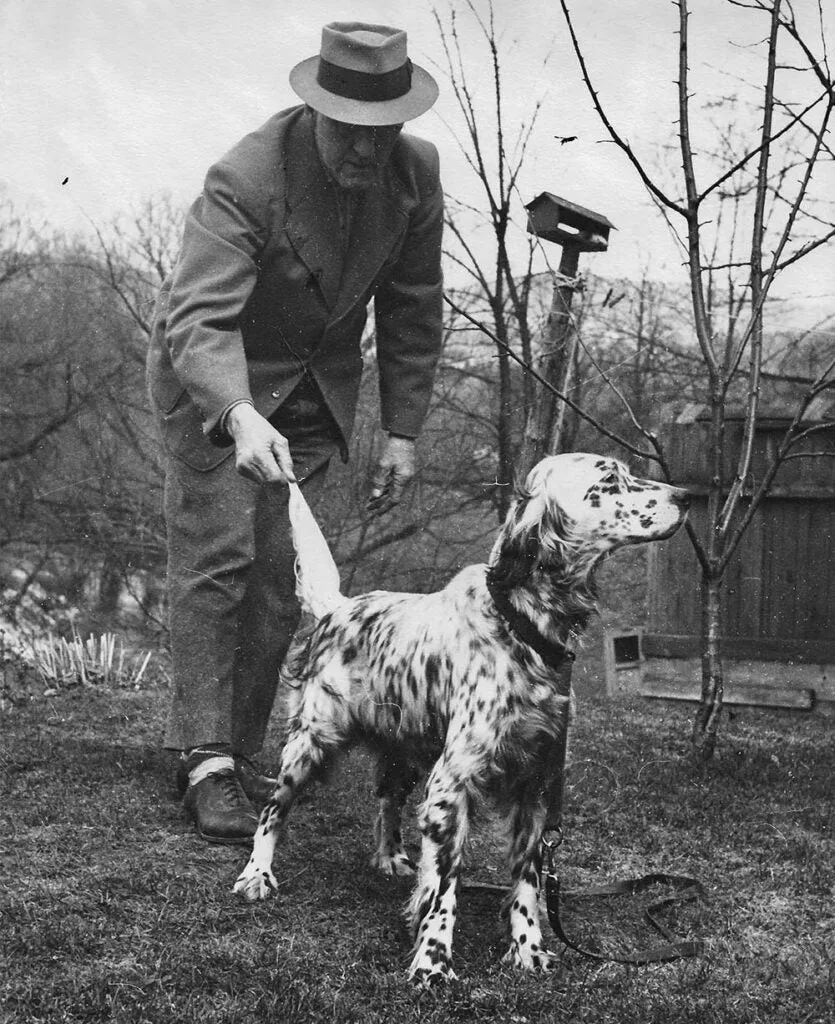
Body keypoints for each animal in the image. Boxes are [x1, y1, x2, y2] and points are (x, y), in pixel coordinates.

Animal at [231, 454, 688, 983]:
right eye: (609, 479)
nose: (687, 496)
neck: (521, 628)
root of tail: (339, 609)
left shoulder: (535, 784)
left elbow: (527, 879)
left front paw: (528, 947)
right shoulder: (452, 784)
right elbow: (447, 884)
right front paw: (432, 959)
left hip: (407, 754)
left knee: (387, 801)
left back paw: (391, 857)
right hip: (311, 743)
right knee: (272, 809)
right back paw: (257, 873)